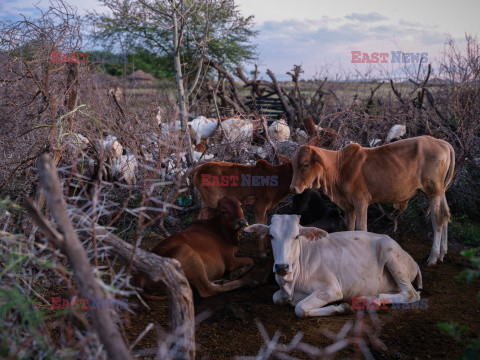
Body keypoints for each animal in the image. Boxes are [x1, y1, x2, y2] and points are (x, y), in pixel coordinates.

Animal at [246, 215, 422, 316]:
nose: (281, 267)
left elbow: (300, 308)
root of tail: (412, 260)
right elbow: (276, 298)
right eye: (271, 236)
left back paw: (375, 301)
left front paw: (342, 308)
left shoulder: (332, 289)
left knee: (411, 293)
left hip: (391, 254)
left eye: (296, 236)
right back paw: (365, 299)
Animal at [288, 136, 454, 266]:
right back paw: (442, 254)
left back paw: (433, 258)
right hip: (441, 191)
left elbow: (361, 228)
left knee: (438, 219)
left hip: (433, 191)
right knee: (446, 214)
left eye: (305, 164)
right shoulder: (349, 207)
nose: (293, 188)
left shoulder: (361, 202)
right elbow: (349, 228)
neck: (340, 168)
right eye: (293, 164)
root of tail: (443, 143)